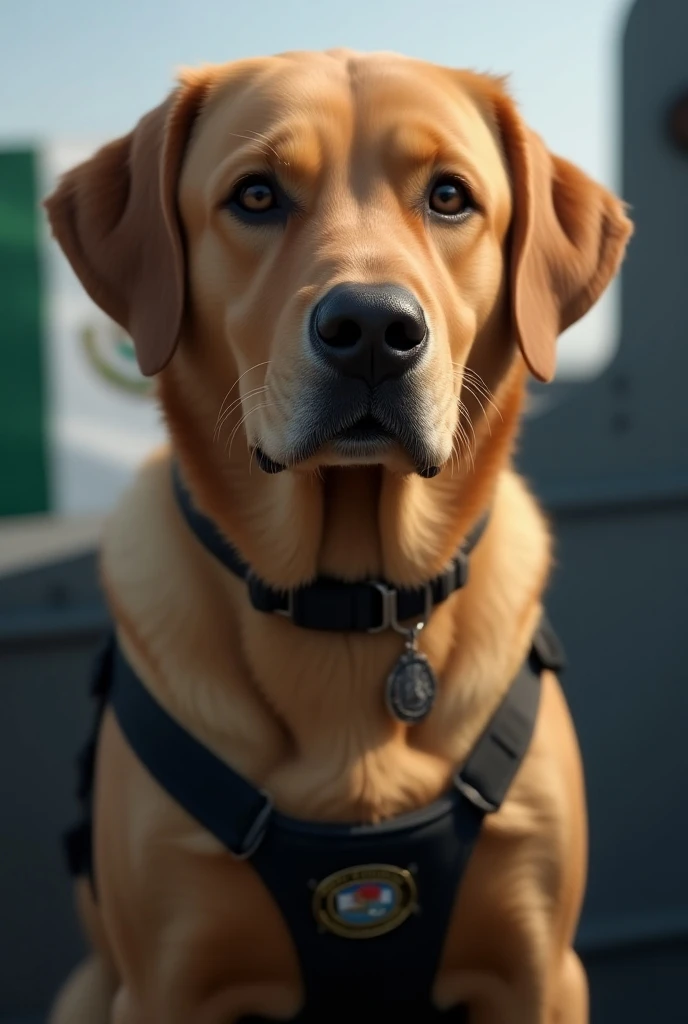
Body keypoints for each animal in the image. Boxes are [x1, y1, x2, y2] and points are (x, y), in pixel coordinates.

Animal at [45, 49, 630, 1024]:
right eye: (255, 195)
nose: (372, 332)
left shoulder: (540, 972)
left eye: (449, 196)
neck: (352, 602)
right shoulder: (166, 982)